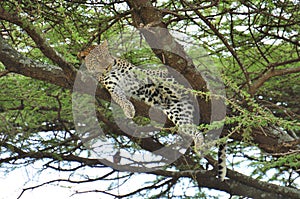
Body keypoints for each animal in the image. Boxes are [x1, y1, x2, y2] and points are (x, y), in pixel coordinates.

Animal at [79, 40, 227, 180]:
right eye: (96, 60)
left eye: (105, 55)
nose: (107, 66)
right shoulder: (112, 87)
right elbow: (119, 98)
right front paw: (129, 109)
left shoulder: (140, 75)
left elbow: (149, 80)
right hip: (178, 113)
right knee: (195, 131)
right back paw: (200, 145)